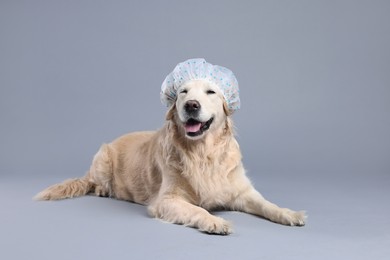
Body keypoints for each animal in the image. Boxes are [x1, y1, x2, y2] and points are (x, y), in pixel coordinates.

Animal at [35, 78, 306, 235]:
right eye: (183, 92)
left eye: (211, 92)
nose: (191, 105)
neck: (203, 153)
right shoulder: (166, 200)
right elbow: (197, 210)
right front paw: (214, 222)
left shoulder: (241, 192)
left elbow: (268, 205)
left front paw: (290, 214)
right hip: (102, 155)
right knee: (94, 181)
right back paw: (103, 189)